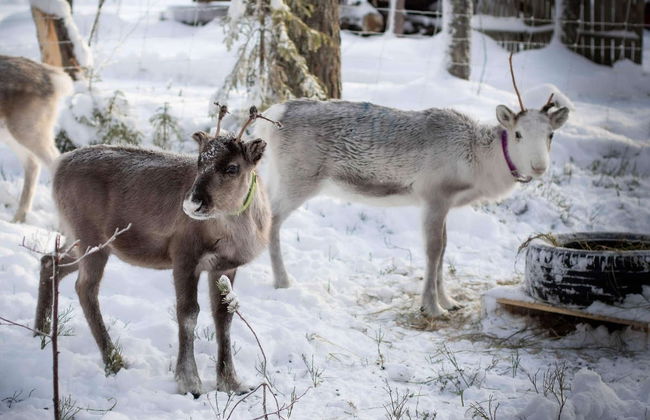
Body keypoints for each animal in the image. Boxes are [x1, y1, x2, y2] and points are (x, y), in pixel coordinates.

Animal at [0, 55, 73, 223]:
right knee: (32, 163)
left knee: (53, 158)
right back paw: (18, 218)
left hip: (28, 127)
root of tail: (56, 79)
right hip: (11, 132)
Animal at [33, 105, 276, 397]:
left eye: (232, 167)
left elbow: (224, 317)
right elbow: (188, 313)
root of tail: (59, 166)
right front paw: (189, 383)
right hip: (91, 239)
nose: (192, 203)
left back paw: (41, 332)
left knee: (50, 261)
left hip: (82, 241)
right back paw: (114, 360)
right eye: (199, 162)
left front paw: (232, 383)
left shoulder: (225, 266)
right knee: (85, 288)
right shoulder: (184, 256)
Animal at [253, 54, 569, 317]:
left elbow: (444, 249)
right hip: (299, 179)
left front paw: (449, 302)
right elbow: (433, 249)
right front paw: (432, 307)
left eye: (551, 135)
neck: (479, 161)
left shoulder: (446, 203)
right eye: (517, 134)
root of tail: (272, 118)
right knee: (272, 221)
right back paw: (282, 281)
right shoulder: (434, 196)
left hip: (275, 177)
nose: (539, 166)